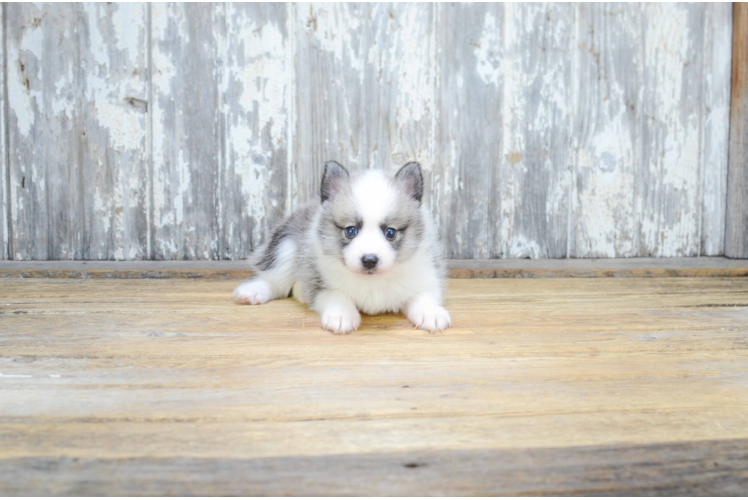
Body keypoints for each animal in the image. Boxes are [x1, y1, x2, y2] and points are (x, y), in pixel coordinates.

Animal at [232, 162, 450, 334]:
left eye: (390, 233)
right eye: (351, 231)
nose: (369, 260)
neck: (372, 283)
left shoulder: (426, 276)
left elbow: (424, 296)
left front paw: (431, 313)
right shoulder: (319, 282)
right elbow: (337, 296)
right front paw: (342, 315)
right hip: (286, 245)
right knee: (275, 279)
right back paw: (254, 291)